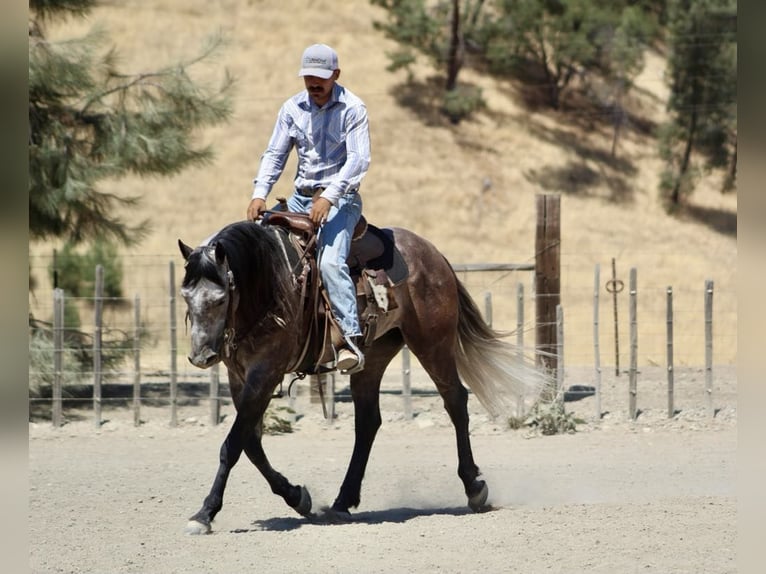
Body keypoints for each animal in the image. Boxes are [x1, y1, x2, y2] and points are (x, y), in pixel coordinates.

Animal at [177, 220, 548, 536]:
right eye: (185, 296)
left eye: (220, 298)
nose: (200, 356)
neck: (270, 282)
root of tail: (432, 253)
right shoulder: (240, 377)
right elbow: (250, 444)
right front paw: (298, 497)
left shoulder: (265, 374)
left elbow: (232, 445)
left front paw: (204, 514)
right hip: (374, 357)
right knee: (368, 421)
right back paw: (343, 501)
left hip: (432, 344)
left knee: (455, 401)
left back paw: (474, 487)